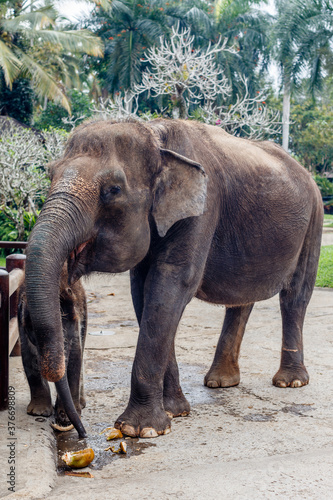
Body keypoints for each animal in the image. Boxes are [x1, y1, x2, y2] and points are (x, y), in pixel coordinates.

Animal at [18, 264, 87, 436]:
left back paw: (81, 404)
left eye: (67, 337)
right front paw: (39, 412)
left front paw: (66, 416)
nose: (83, 434)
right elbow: (28, 357)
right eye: (36, 337)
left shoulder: (77, 323)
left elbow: (75, 356)